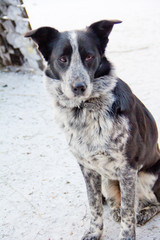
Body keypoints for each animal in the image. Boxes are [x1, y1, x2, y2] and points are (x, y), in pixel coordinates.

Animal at [25, 20, 160, 240]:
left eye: (89, 56)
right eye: (62, 59)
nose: (79, 86)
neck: (84, 110)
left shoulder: (128, 170)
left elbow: (128, 213)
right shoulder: (88, 169)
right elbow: (94, 205)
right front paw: (94, 232)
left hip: (147, 177)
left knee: (153, 202)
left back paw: (143, 212)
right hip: (107, 179)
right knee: (115, 202)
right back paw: (115, 209)